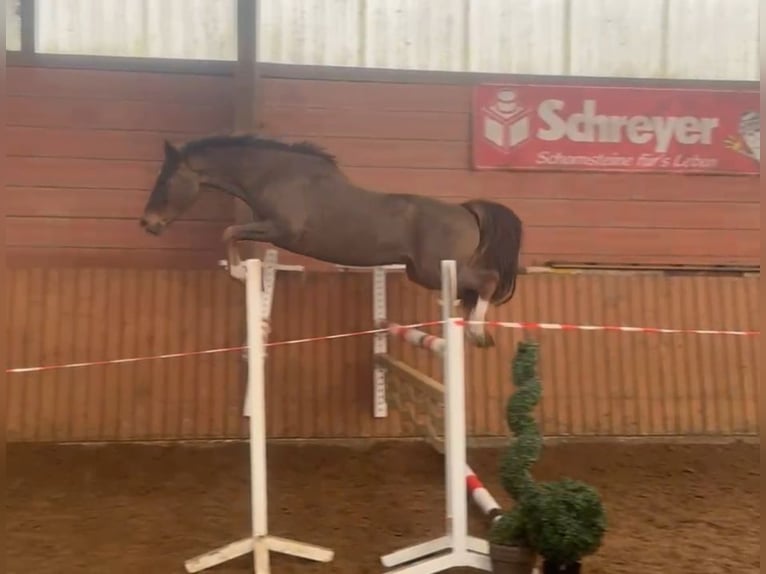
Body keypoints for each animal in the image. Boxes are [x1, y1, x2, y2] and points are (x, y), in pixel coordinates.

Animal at [138, 135, 524, 348]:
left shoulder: (282, 230)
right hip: (422, 272)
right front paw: (242, 273)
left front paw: (239, 274)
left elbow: (229, 232)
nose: (147, 223)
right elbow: (232, 233)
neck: (273, 174)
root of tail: (466, 211)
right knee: (470, 290)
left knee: (486, 282)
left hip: (434, 269)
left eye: (165, 180)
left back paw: (476, 332)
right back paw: (468, 327)